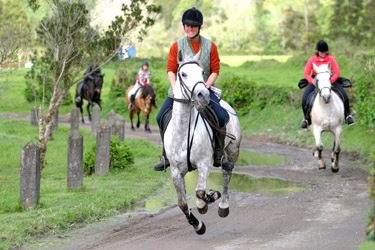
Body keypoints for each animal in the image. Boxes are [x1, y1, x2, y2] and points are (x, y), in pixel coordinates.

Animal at [165, 51, 244, 235]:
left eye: (202, 72)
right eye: (183, 74)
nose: (203, 95)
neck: (183, 132)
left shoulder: (203, 164)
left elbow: (200, 192)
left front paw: (205, 202)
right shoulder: (175, 171)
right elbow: (182, 203)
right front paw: (197, 225)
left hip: (233, 150)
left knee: (227, 173)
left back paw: (223, 205)